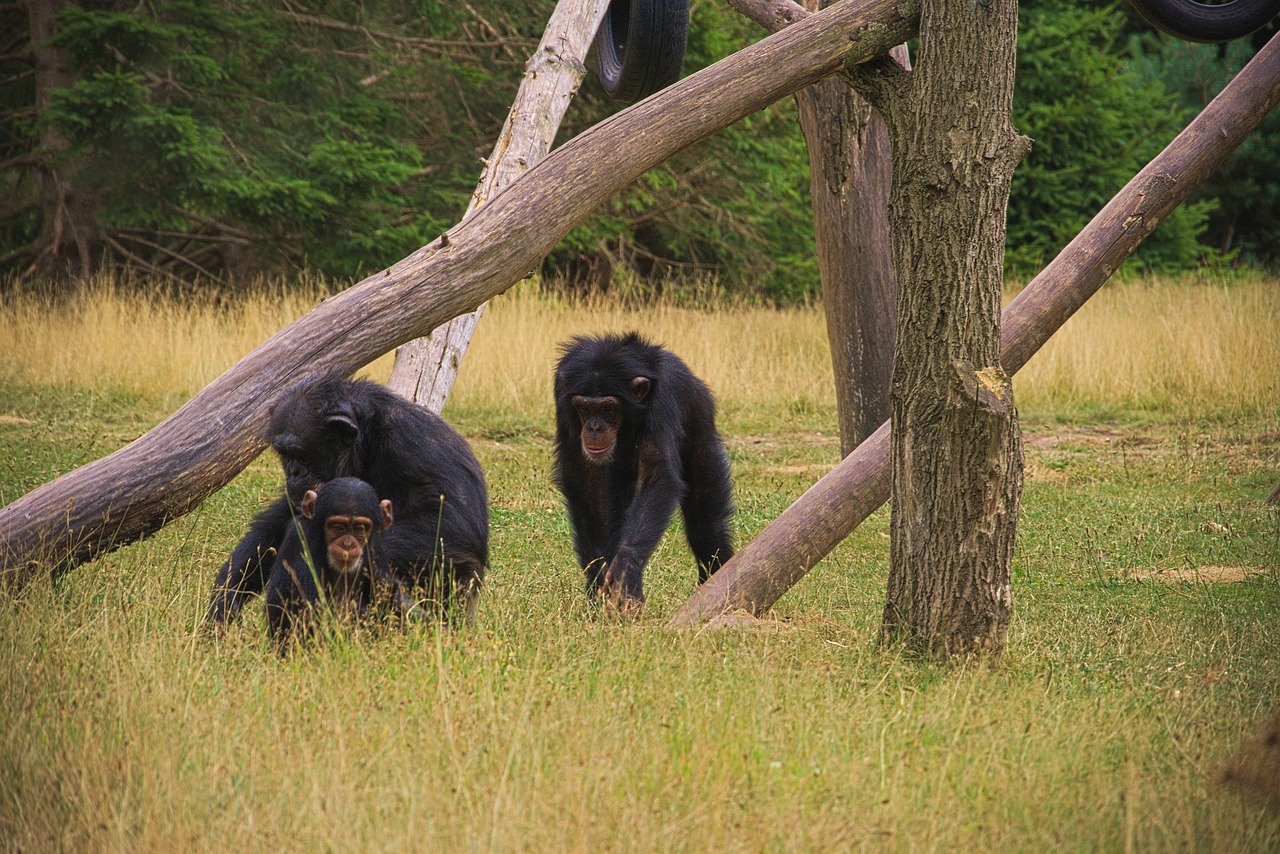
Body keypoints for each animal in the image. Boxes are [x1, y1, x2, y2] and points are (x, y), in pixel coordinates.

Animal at [209, 371, 488, 632]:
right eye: (284, 453)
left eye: (300, 453)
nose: (293, 472)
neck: (366, 441)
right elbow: (278, 521)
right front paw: (226, 598)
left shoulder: (414, 445)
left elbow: (449, 526)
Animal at [259, 478, 399, 650]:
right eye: (337, 527)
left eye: (359, 529)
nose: (348, 544)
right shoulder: (301, 538)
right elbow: (310, 618)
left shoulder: (375, 548)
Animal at [547, 330, 732, 612]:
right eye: (584, 408)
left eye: (608, 408)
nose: (594, 428)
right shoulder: (562, 393)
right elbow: (583, 473)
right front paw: (598, 576)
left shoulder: (663, 396)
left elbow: (656, 472)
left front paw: (625, 571)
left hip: (704, 445)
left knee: (706, 523)